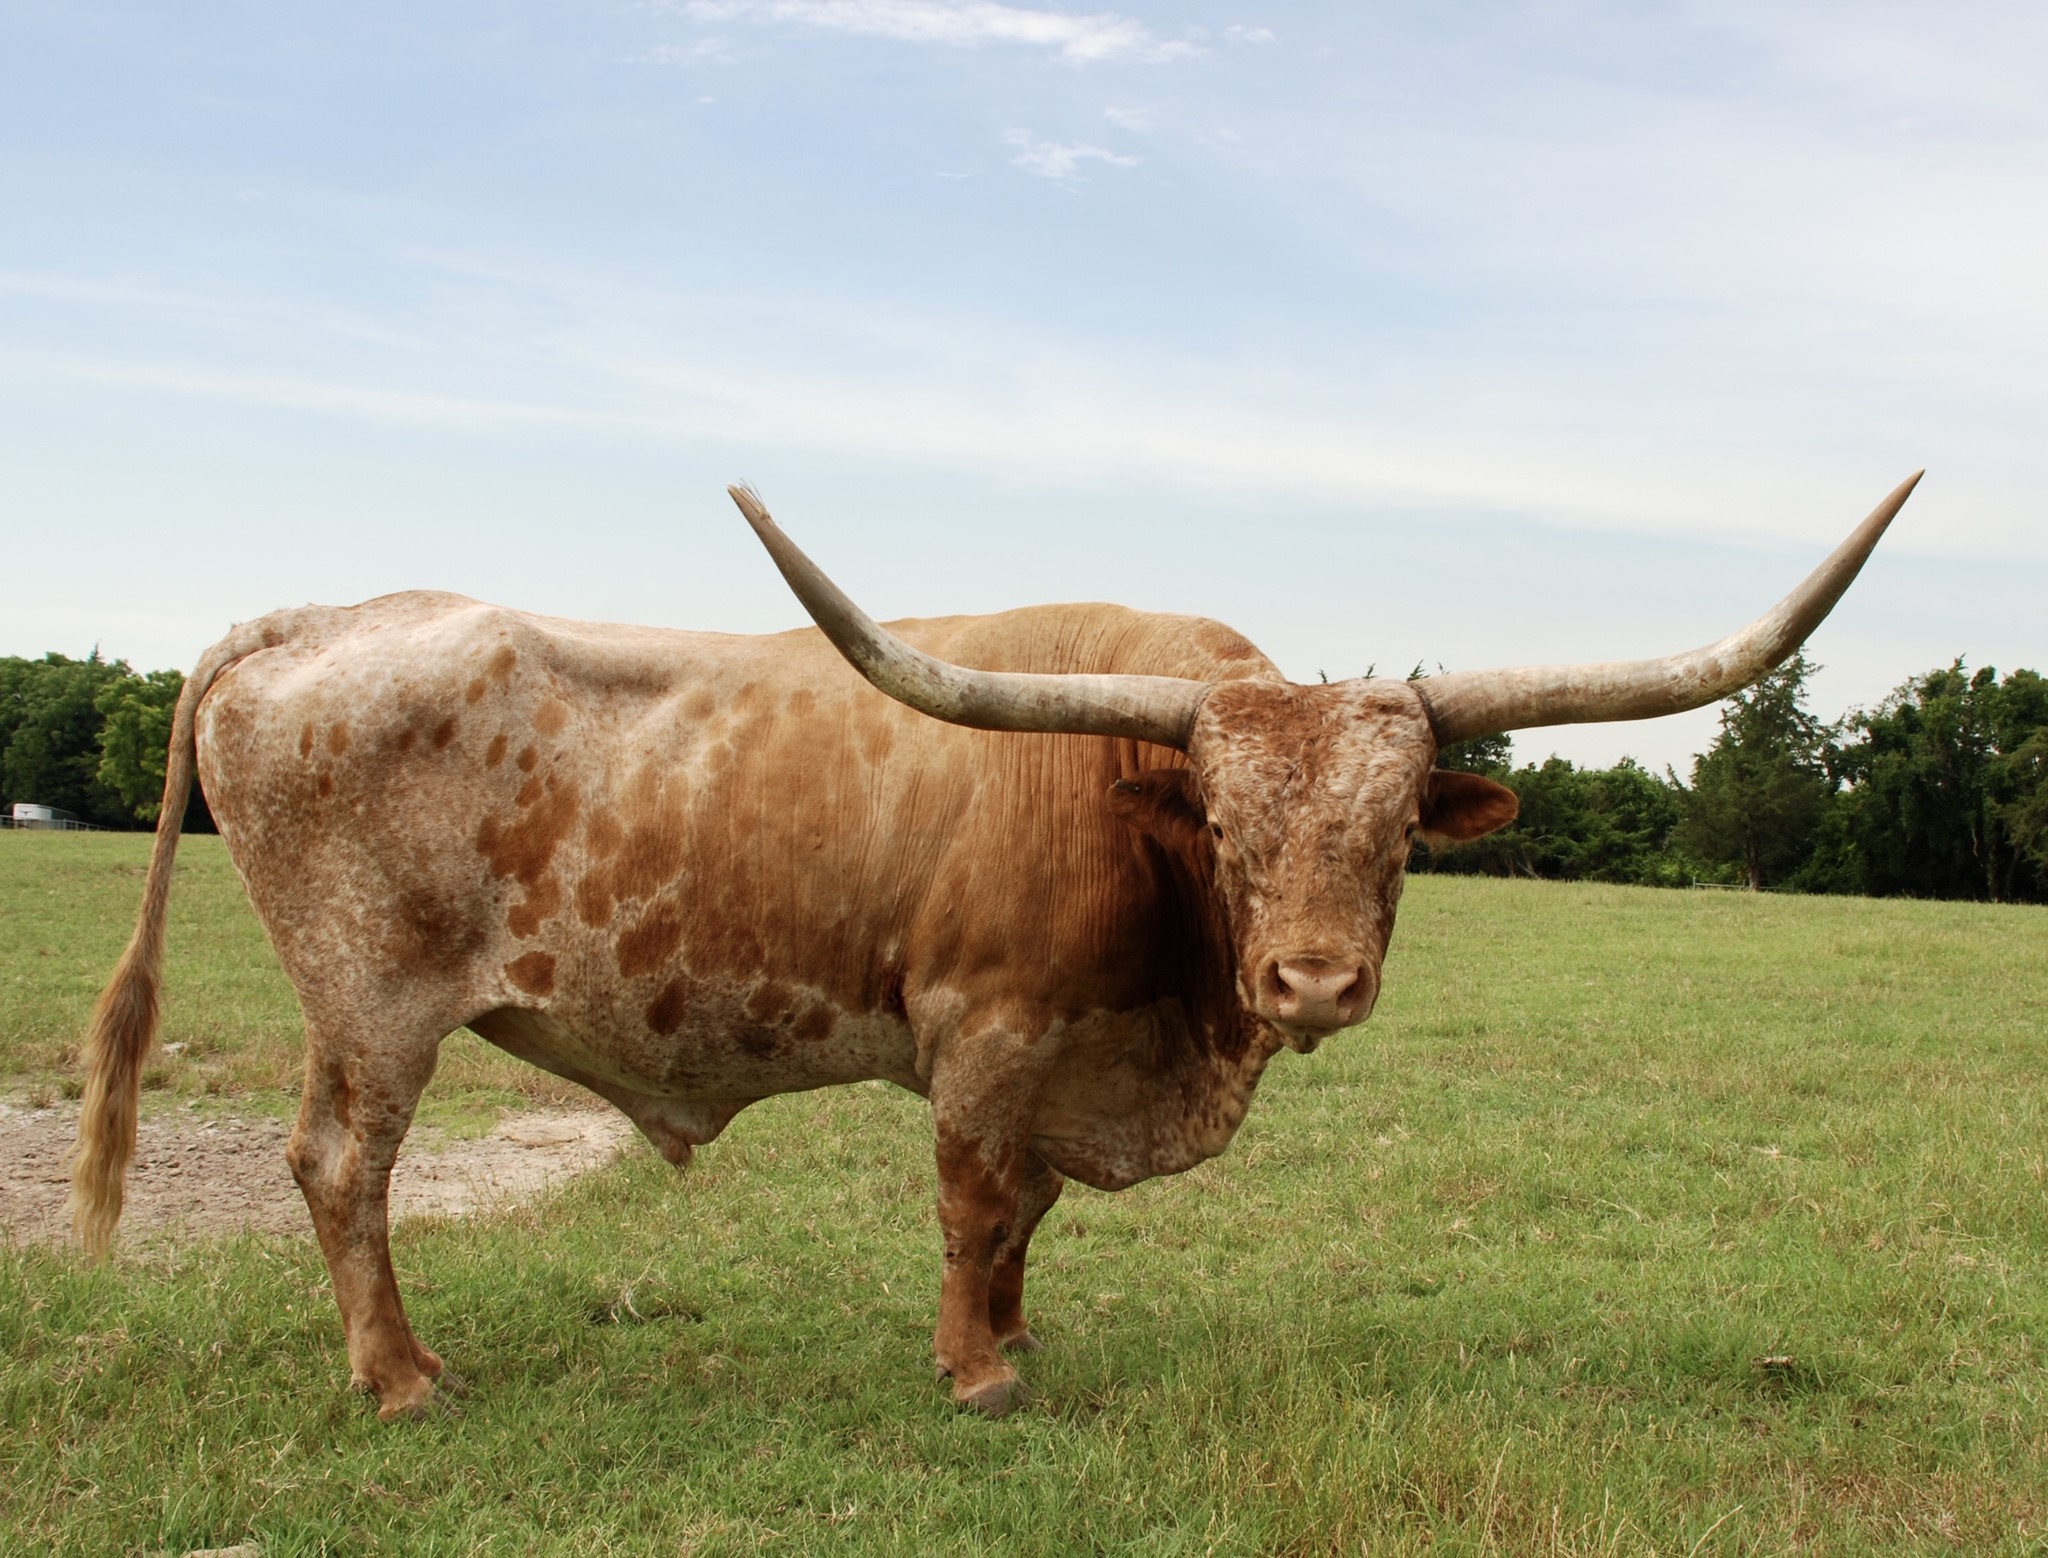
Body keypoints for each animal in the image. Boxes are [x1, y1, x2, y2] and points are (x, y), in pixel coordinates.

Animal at [73, 473, 1921, 1419]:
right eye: (1224, 825)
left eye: (1399, 827)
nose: (1312, 982)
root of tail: (312, 617)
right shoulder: (981, 1031)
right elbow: (974, 1202)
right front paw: (974, 1375)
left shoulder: (1063, 1053)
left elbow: (1028, 1210)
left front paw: (1019, 1337)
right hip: (370, 1002)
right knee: (339, 1166)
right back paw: (400, 1378)